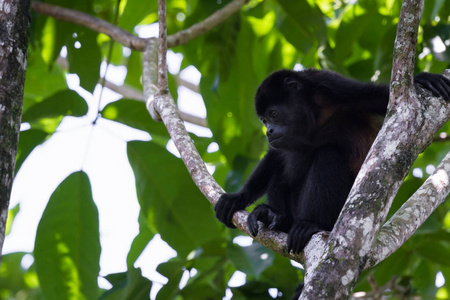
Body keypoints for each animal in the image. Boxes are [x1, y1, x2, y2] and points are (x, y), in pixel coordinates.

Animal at [215, 68, 450, 255]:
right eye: (264, 119)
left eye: (273, 114)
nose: (268, 131)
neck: (313, 115)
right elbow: (275, 156)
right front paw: (238, 197)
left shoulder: (331, 86)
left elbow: (378, 97)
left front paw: (423, 78)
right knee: (281, 172)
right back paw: (277, 217)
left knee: (328, 155)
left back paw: (310, 225)